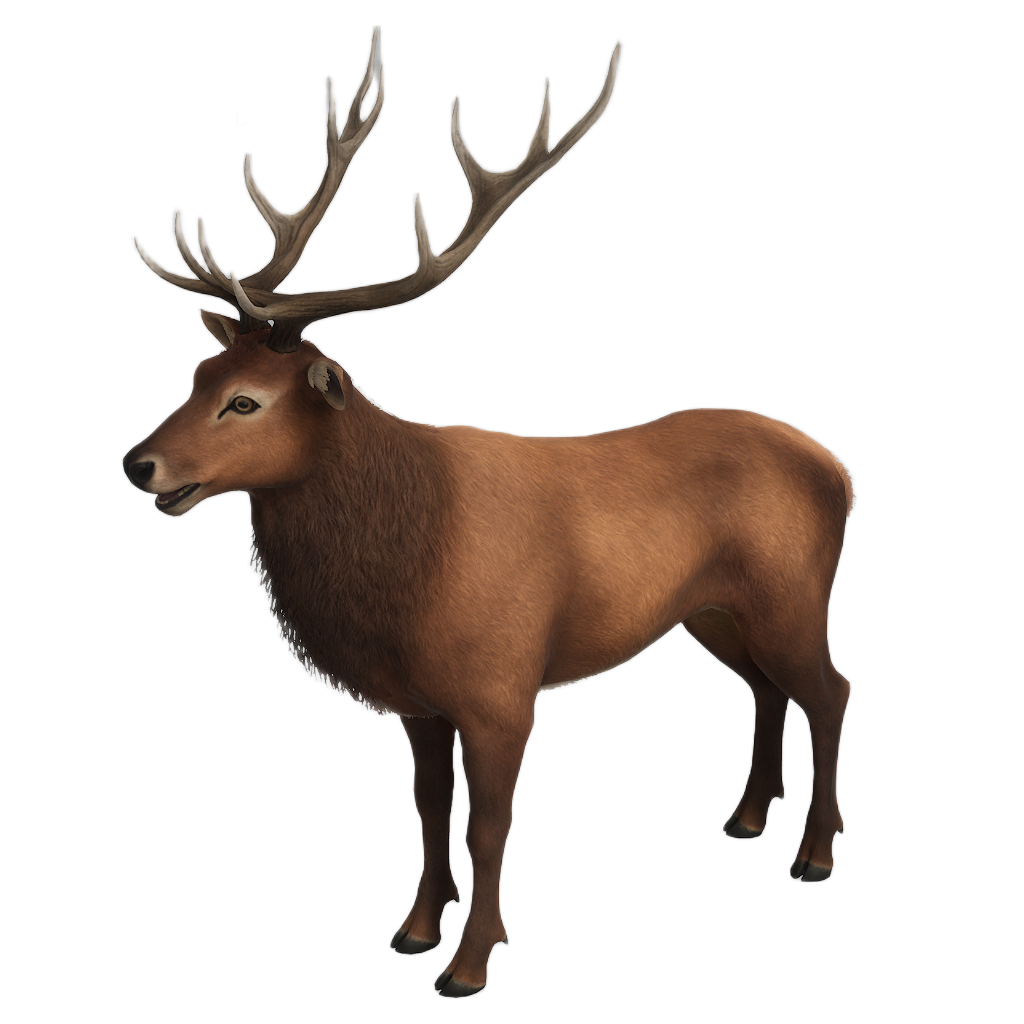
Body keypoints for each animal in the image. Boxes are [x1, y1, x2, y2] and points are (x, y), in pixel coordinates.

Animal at [122, 24, 856, 998]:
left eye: (245, 401)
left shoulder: (502, 686)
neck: (405, 566)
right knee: (766, 687)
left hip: (791, 592)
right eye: (198, 374)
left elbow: (489, 821)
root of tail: (841, 469)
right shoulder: (417, 700)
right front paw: (413, 929)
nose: (138, 463)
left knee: (831, 689)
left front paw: (471, 961)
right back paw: (743, 818)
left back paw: (815, 854)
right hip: (711, 610)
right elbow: (428, 807)